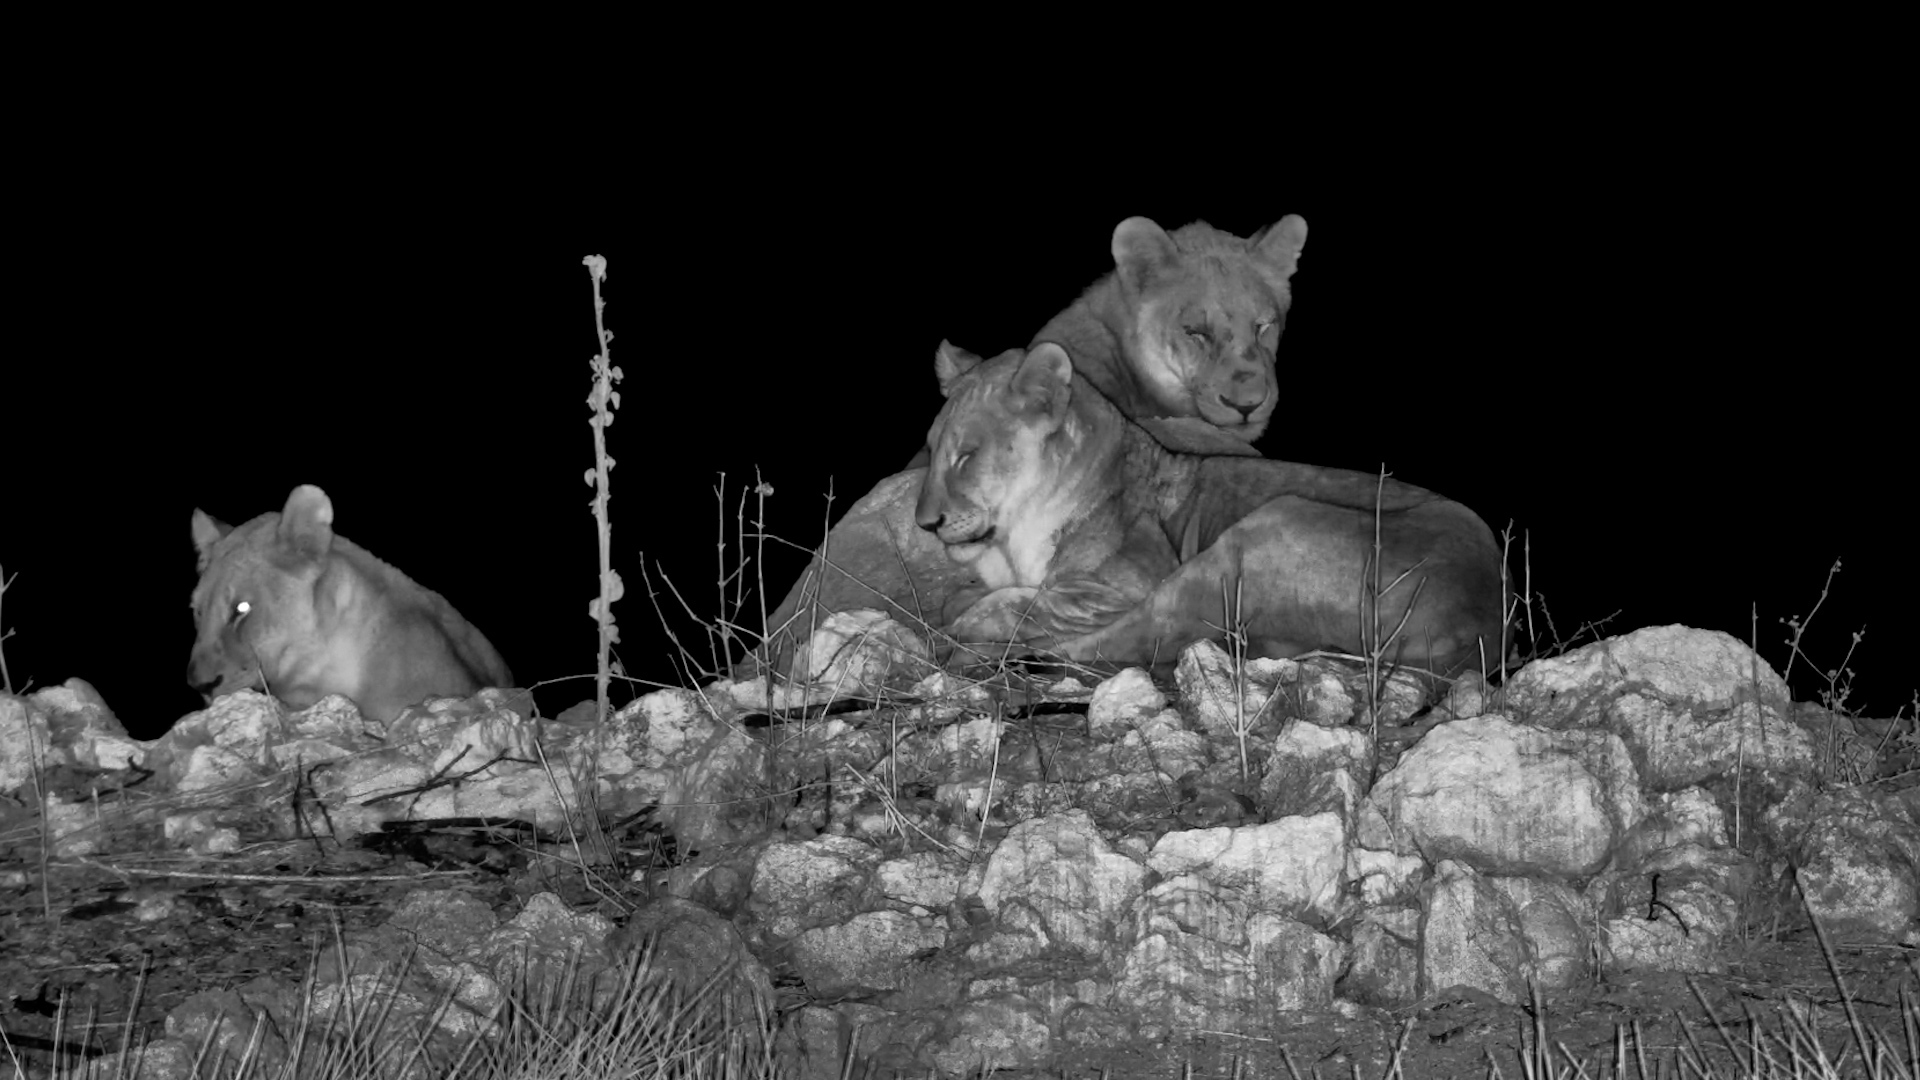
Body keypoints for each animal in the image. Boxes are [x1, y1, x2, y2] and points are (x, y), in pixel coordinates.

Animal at [917, 343, 1507, 677]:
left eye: (967, 455)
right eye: (931, 447)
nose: (927, 524)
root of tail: (1486, 623)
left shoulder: (1119, 586)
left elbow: (1012, 605)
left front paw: (964, 628)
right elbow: (980, 596)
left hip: (1256, 535)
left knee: (1129, 640)